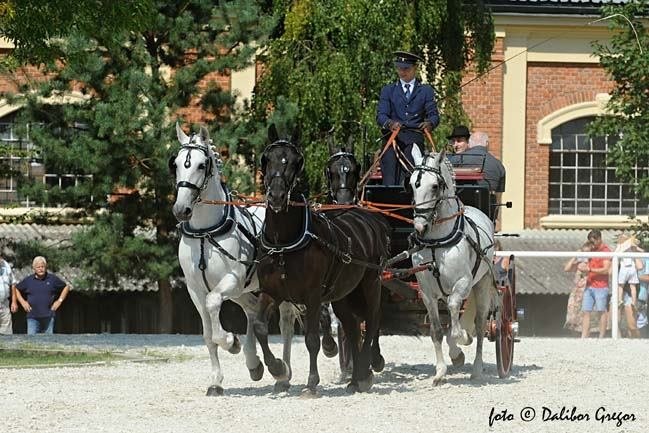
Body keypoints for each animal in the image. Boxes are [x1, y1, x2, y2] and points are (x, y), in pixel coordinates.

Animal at [170, 123, 300, 395]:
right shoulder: (194, 290)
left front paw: (231, 341)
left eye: (201, 165)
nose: (181, 209)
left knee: (285, 322)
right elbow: (208, 335)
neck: (205, 232)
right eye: (175, 164)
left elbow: (213, 306)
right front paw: (216, 381)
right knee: (252, 311)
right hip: (245, 290)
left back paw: (283, 373)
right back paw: (254, 363)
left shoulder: (232, 280)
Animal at [252, 126, 390, 395]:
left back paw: (366, 368)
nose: (276, 195)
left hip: (371, 283)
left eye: (296, 161)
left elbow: (312, 339)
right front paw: (277, 368)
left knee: (372, 321)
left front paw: (311, 383)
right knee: (352, 328)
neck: (285, 241)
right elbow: (260, 327)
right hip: (343, 295)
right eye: (266, 158)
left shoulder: (313, 295)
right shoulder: (270, 291)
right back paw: (355, 378)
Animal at [408, 146, 498, 385]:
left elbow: (456, 316)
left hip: (482, 284)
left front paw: (461, 341)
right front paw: (440, 371)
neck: (437, 241)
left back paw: (477, 368)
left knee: (480, 324)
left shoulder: (463, 282)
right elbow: (437, 332)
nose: (419, 226)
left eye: (435, 186)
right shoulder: (427, 292)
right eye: (411, 184)